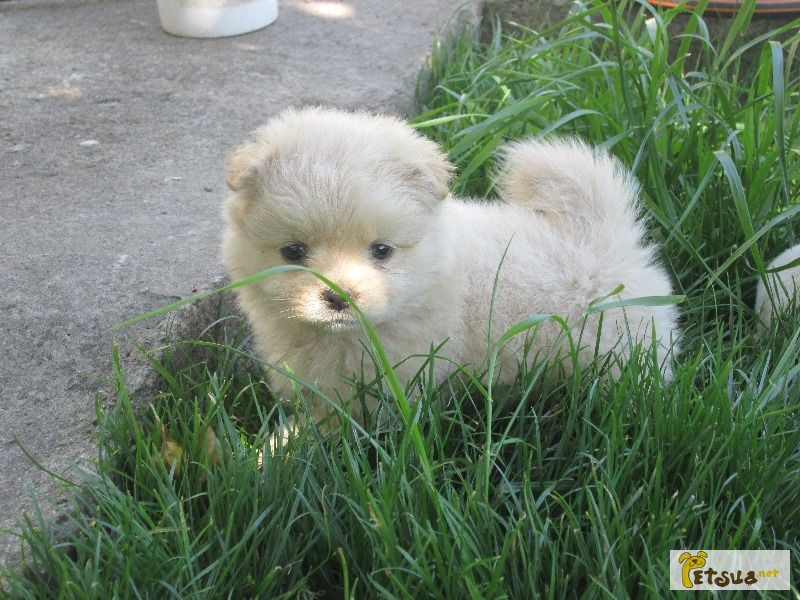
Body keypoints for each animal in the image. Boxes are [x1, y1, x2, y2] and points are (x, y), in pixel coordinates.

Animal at [222, 109, 680, 426]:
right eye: (293, 251)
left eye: (382, 251)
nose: (337, 296)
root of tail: (601, 234)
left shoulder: (386, 385)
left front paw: (274, 454)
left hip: (620, 347)